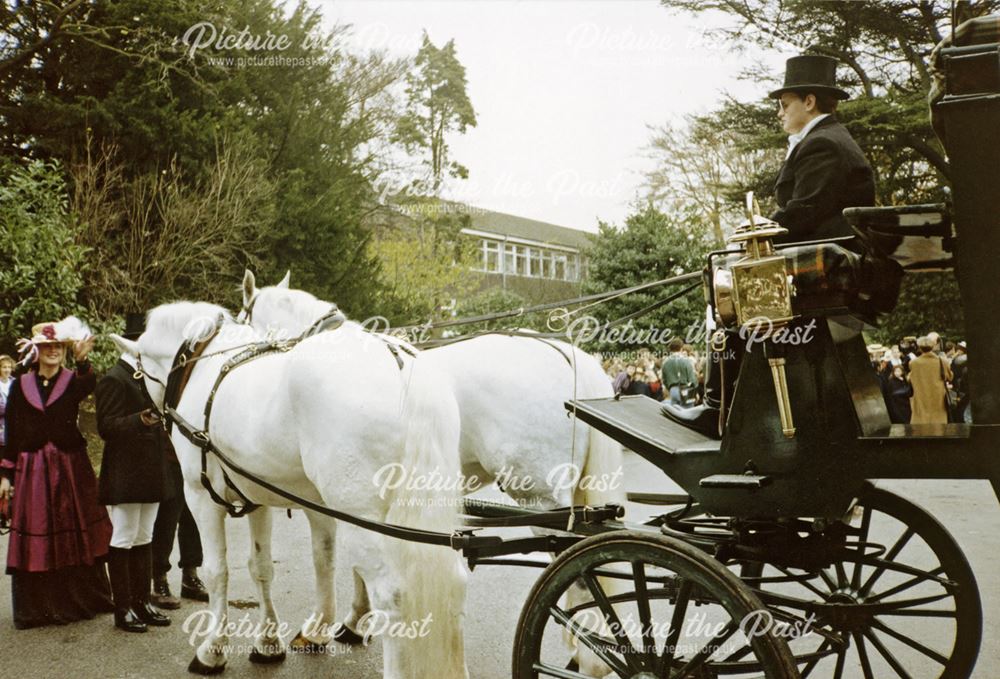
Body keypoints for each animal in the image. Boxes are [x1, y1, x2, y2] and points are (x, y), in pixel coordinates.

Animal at [111, 302, 470, 679]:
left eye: (138, 376)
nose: (152, 419)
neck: (204, 364)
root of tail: (397, 358)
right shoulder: (258, 498)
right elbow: (262, 566)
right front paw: (269, 643)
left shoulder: (201, 498)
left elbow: (217, 570)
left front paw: (212, 651)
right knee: (454, 585)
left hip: (364, 520)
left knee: (394, 594)